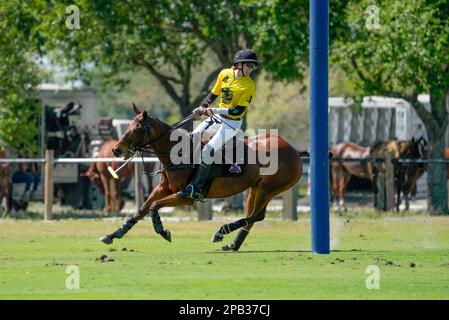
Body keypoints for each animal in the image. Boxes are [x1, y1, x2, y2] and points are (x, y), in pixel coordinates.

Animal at [100, 104, 306, 251]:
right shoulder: (163, 189)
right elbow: (140, 210)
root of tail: (295, 151)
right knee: (252, 216)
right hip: (254, 189)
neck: (177, 153)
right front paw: (112, 235)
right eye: (128, 125)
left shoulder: (186, 197)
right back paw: (232, 245)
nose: (116, 149)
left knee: (257, 216)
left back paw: (221, 232)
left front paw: (162, 231)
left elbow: (154, 206)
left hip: (268, 189)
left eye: (137, 128)